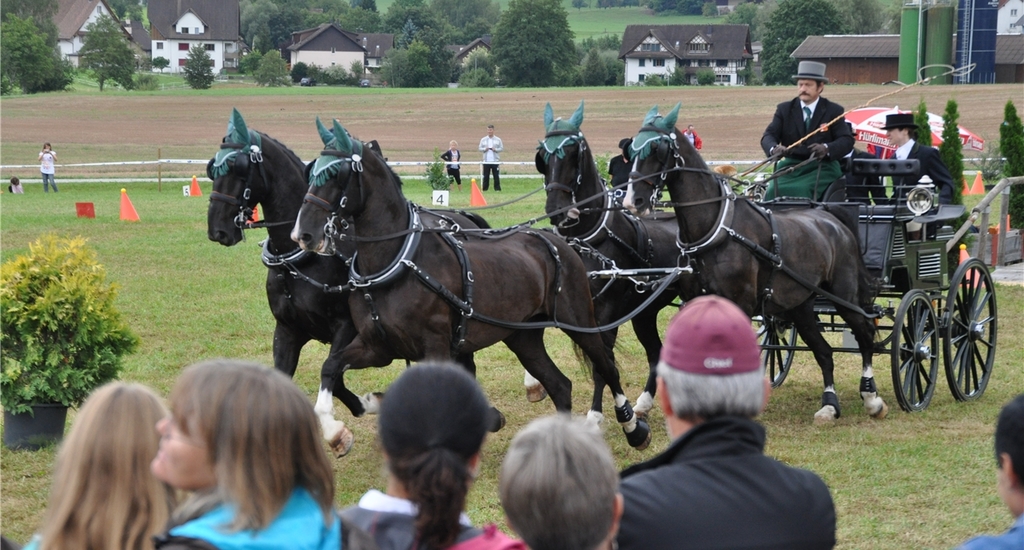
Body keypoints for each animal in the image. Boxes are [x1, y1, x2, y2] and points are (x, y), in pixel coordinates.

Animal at [205, 108, 493, 454]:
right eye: (212, 166)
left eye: (239, 167)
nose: (218, 229)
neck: (301, 261)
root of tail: (465, 218)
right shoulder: (287, 330)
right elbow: (296, 375)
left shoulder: (346, 327)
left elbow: (332, 373)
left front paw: (340, 428)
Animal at [292, 117, 651, 448]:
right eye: (312, 172)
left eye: (337, 175)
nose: (303, 233)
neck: (395, 262)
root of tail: (559, 241)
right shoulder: (377, 346)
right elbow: (330, 367)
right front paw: (338, 426)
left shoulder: (435, 348)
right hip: (523, 337)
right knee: (560, 385)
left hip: (579, 321)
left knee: (606, 367)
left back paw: (633, 426)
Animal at [532, 100, 692, 415]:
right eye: (542, 155)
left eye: (573, 153)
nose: (556, 208)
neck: (588, 240)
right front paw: (533, 385)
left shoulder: (606, 314)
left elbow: (602, 366)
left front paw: (596, 416)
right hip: (644, 312)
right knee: (655, 352)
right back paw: (644, 403)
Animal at [618, 103, 884, 419]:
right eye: (631, 150)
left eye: (657, 150)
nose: (632, 202)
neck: (716, 228)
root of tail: (830, 215)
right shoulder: (696, 301)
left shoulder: (741, 304)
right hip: (800, 305)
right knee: (824, 352)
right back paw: (829, 405)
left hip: (843, 295)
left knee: (865, 333)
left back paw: (871, 396)